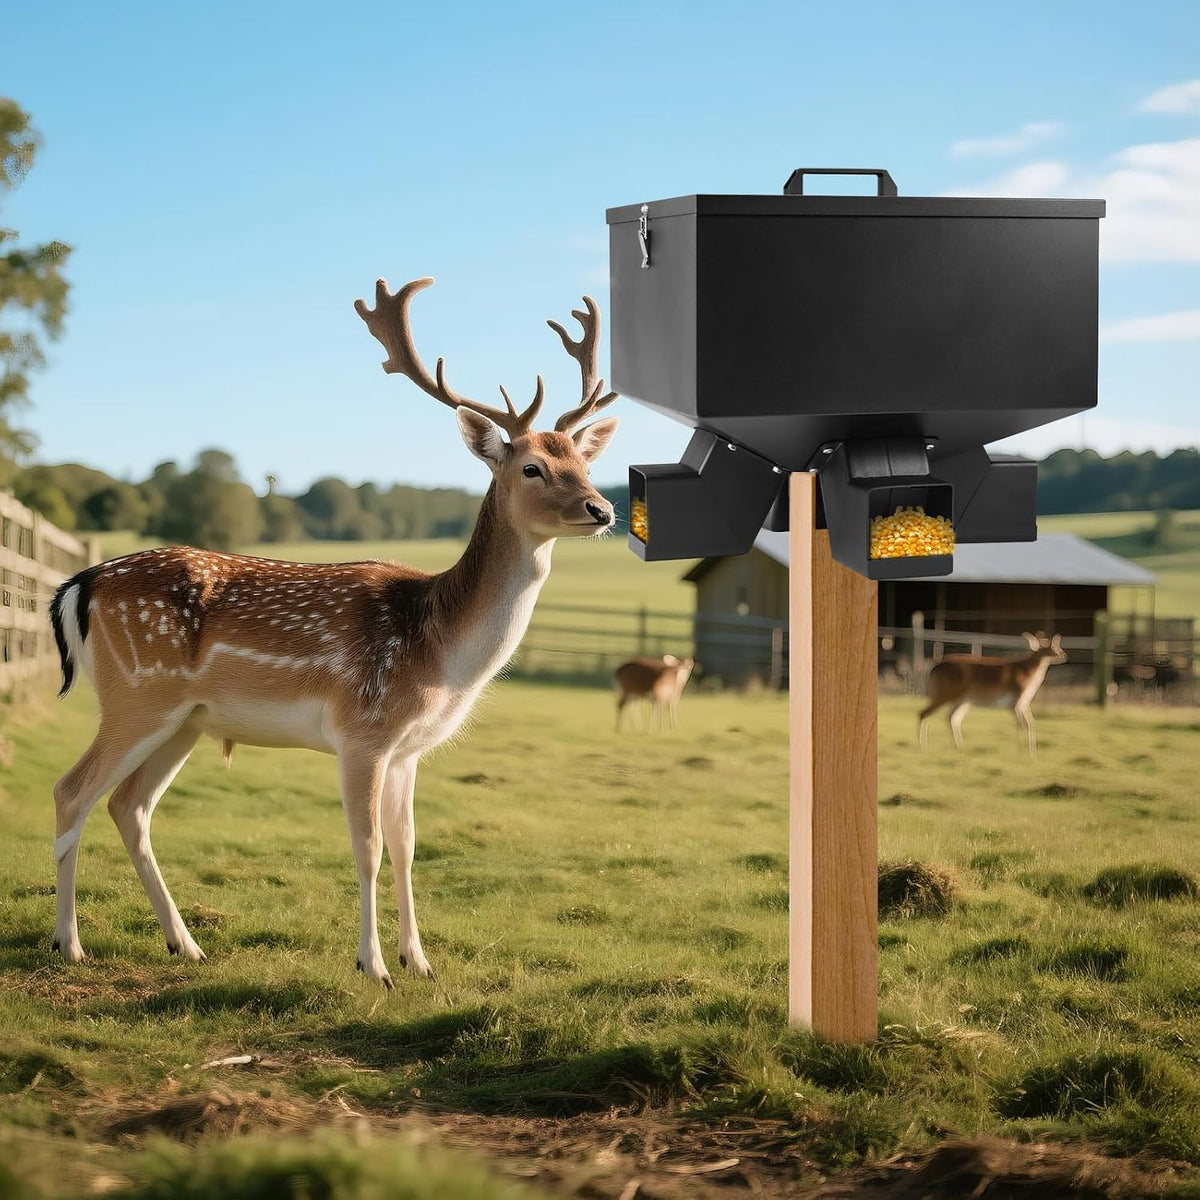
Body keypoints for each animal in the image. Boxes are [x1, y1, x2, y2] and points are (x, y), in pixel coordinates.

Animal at [46, 277, 619, 988]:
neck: (440, 654)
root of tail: (82, 583)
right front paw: (373, 966)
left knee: (130, 806)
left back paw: (186, 944)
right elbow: (367, 847)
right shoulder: (363, 732)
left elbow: (407, 848)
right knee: (72, 792)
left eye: (583, 461)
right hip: (135, 696)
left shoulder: (407, 750)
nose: (603, 508)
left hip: (185, 718)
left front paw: (419, 961)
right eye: (531, 467)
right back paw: (70, 944)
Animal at [918, 632, 1067, 756]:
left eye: (1058, 646)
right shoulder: (1015, 700)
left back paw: (959, 747)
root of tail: (934, 669)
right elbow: (1022, 724)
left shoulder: (1024, 703)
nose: (1064, 655)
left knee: (952, 718)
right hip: (945, 692)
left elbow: (1031, 723)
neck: (1028, 675)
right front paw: (1023, 752)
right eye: (1054, 648)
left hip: (964, 700)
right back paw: (923, 746)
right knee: (924, 713)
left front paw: (1031, 752)